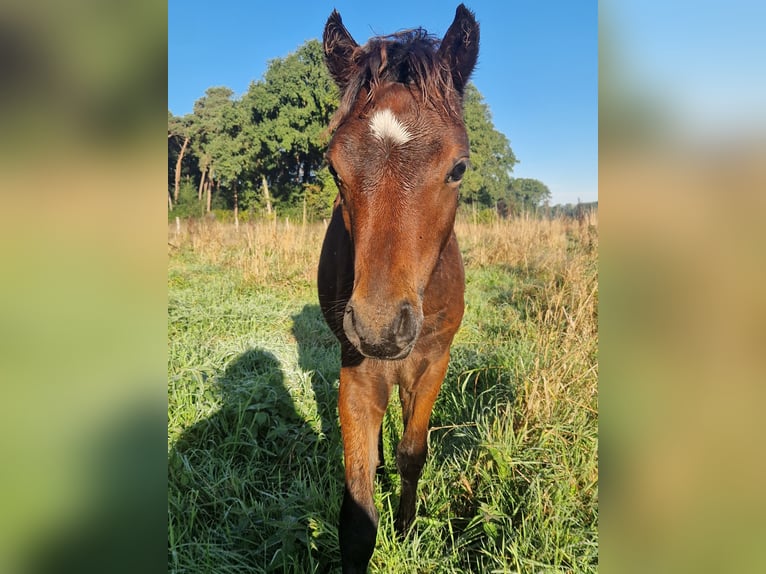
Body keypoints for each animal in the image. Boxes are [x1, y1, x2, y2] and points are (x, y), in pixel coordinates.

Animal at [318, 5, 479, 572]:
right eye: (333, 167)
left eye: (458, 168)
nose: (380, 328)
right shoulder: (357, 369)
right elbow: (356, 514)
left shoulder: (433, 361)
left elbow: (413, 453)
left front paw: (407, 528)